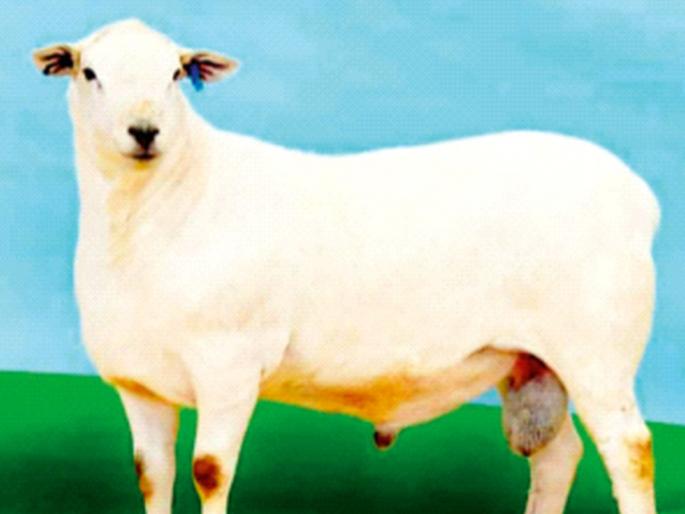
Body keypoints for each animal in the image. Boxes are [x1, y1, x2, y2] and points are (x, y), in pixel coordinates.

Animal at [33, 19, 660, 514]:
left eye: (175, 74)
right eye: (90, 73)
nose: (145, 132)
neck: (160, 211)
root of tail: (637, 194)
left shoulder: (229, 365)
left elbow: (209, 471)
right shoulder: (138, 381)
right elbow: (152, 476)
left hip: (598, 351)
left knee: (631, 452)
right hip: (531, 361)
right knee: (559, 456)